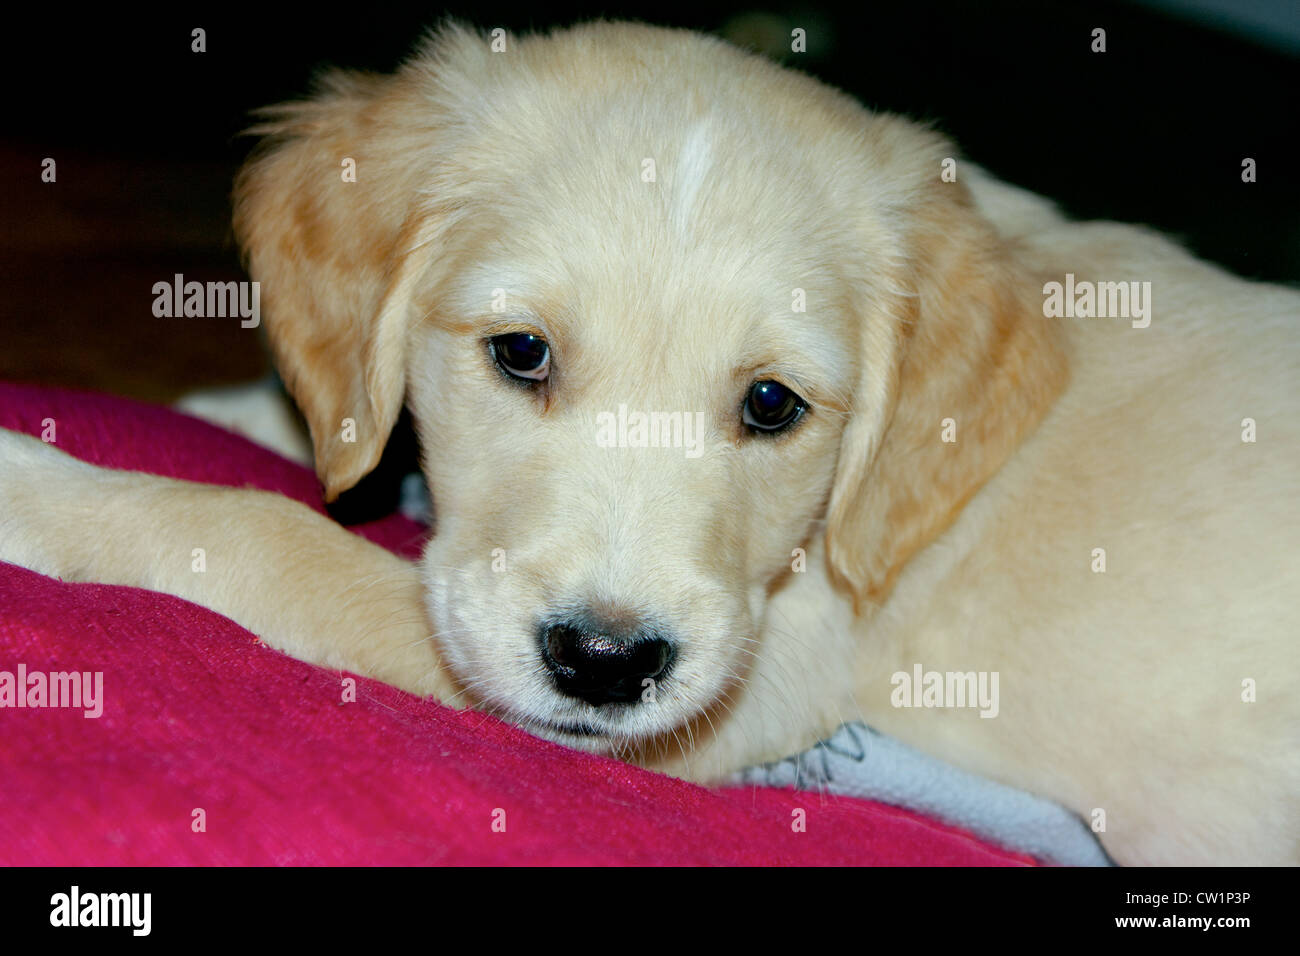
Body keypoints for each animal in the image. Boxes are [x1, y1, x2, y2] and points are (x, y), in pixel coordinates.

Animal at [0, 20, 1294, 868]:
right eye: (521, 352)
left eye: (771, 405)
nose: (606, 663)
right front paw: (252, 410)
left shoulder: (764, 684)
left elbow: (263, 531)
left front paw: (43, 483)